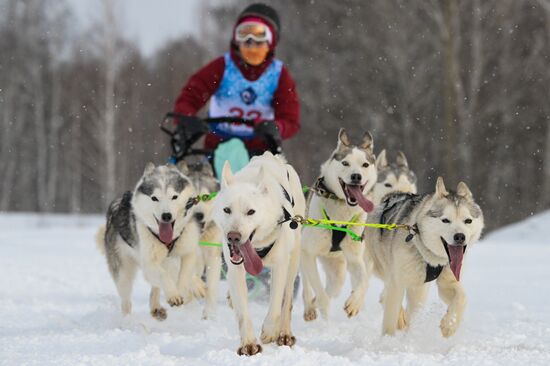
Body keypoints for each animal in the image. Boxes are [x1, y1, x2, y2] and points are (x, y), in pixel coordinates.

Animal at [96, 163, 202, 320]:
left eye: (174, 196)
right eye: (154, 198)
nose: (166, 216)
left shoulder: (188, 252)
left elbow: (184, 274)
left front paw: (184, 289)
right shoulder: (149, 262)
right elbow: (164, 276)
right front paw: (173, 295)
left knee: (157, 285)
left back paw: (156, 307)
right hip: (123, 273)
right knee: (126, 300)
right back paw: (128, 319)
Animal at [182, 159, 223, 318]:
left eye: (206, 197)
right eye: (190, 200)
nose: (198, 215)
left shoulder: (213, 256)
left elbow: (211, 286)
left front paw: (209, 315)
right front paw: (198, 287)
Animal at [212, 151, 308, 354]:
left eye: (251, 212)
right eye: (227, 210)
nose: (233, 236)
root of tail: (271, 156)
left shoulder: (280, 265)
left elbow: (276, 304)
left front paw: (269, 332)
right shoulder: (235, 269)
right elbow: (242, 311)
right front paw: (248, 344)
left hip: (293, 260)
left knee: (287, 299)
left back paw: (284, 333)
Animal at [302, 128, 380, 320]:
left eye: (365, 165)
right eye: (345, 163)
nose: (356, 176)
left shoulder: (355, 257)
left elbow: (364, 281)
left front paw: (354, 304)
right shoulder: (307, 252)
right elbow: (318, 289)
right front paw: (323, 311)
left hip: (338, 268)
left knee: (335, 286)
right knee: (308, 284)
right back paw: (310, 307)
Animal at [364, 177, 486, 338]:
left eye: (468, 220)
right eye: (445, 220)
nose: (460, 237)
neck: (429, 257)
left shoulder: (447, 281)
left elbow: (462, 297)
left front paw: (449, 325)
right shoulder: (397, 283)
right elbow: (390, 319)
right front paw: (387, 340)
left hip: (418, 289)